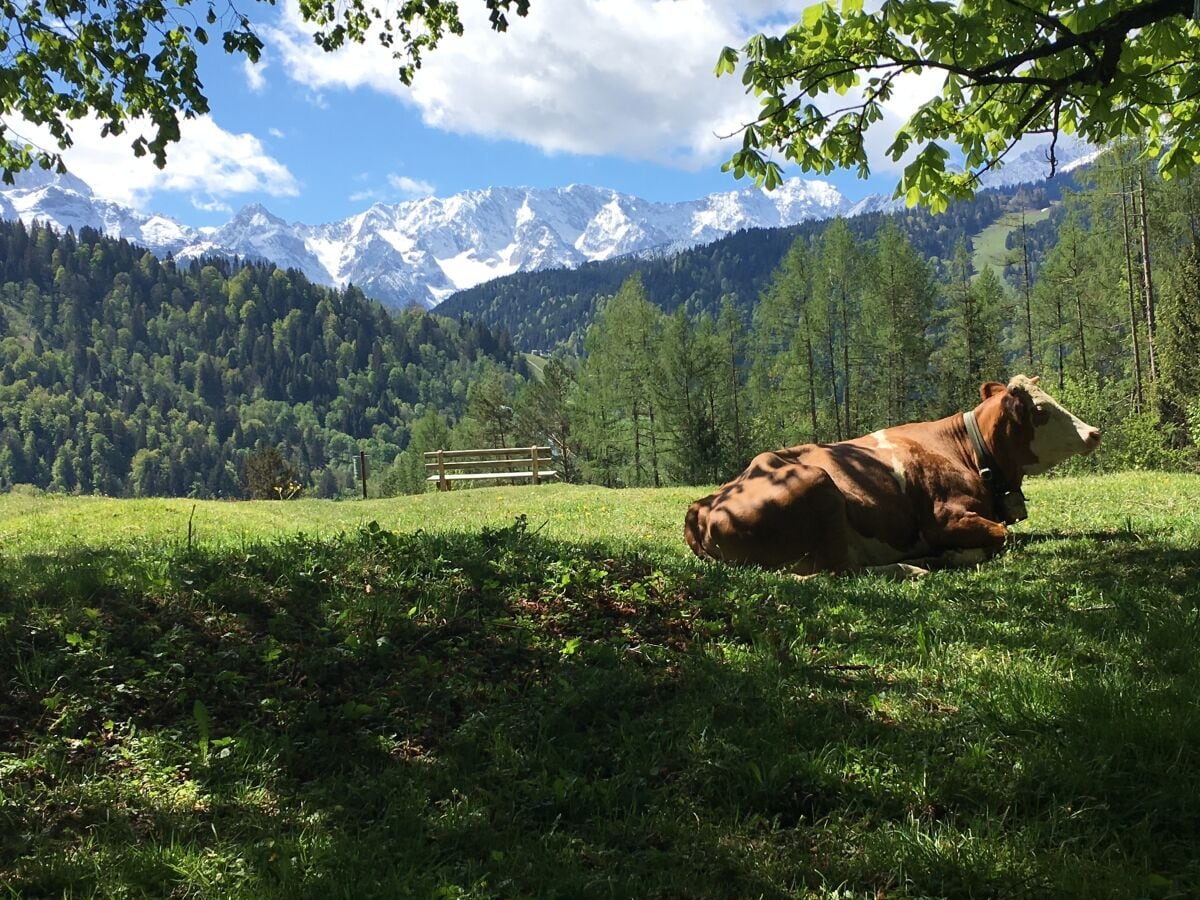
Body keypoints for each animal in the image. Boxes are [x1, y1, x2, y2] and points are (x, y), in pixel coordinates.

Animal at [691, 374, 1099, 578]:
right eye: (1042, 411)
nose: (1094, 431)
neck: (966, 452)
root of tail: (702, 506)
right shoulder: (944, 519)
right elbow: (1002, 536)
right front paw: (954, 555)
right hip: (820, 485)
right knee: (839, 571)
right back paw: (915, 567)